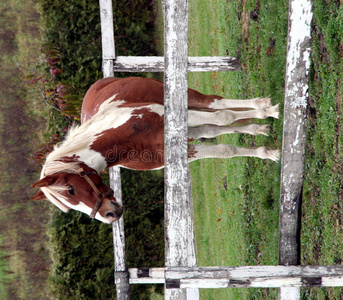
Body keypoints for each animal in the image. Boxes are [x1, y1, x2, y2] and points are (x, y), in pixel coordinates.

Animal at [31, 76, 280, 224]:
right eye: (69, 207)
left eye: (71, 189)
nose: (110, 214)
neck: (126, 139)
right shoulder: (179, 152)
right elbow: (224, 147)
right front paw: (265, 149)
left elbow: (224, 117)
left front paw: (268, 122)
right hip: (190, 129)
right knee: (213, 128)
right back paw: (258, 128)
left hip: (188, 101)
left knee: (218, 105)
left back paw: (263, 107)